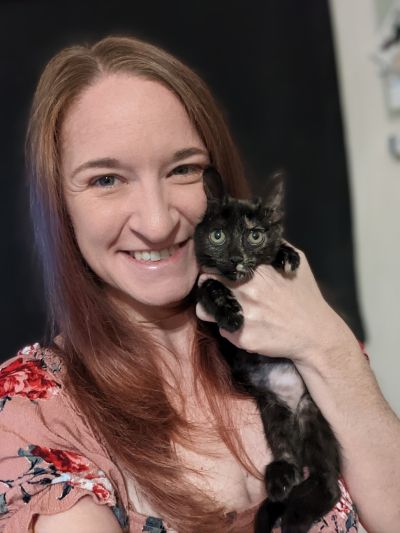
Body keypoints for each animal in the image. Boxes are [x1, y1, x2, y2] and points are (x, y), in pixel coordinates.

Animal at [194, 168, 340, 532]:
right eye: (218, 235)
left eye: (255, 235)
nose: (235, 258)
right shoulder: (201, 293)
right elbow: (210, 287)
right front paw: (231, 314)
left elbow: (280, 248)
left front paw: (287, 256)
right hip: (274, 412)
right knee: (296, 464)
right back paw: (280, 483)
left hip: (314, 414)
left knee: (328, 481)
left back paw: (293, 517)